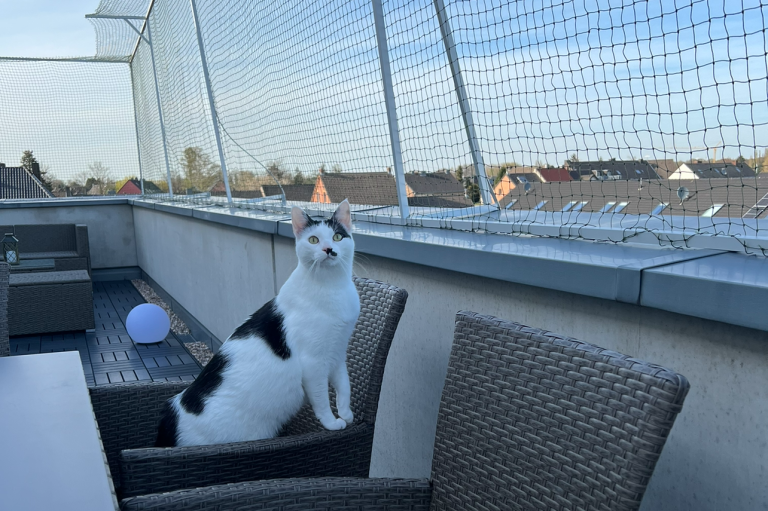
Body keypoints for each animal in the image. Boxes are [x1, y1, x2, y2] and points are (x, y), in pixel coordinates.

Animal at [157, 200, 364, 448]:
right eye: (314, 240)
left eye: (337, 237)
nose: (328, 249)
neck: (332, 287)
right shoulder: (314, 364)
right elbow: (321, 398)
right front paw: (332, 422)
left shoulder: (337, 352)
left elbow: (344, 385)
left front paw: (346, 413)